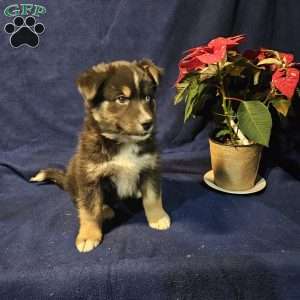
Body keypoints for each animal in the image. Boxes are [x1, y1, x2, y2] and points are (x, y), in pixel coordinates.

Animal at [31, 59, 171, 252]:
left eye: (148, 98)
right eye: (121, 99)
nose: (148, 123)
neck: (123, 141)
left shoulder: (150, 167)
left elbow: (152, 197)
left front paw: (158, 218)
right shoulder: (90, 176)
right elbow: (90, 210)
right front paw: (88, 236)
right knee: (81, 202)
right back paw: (105, 209)